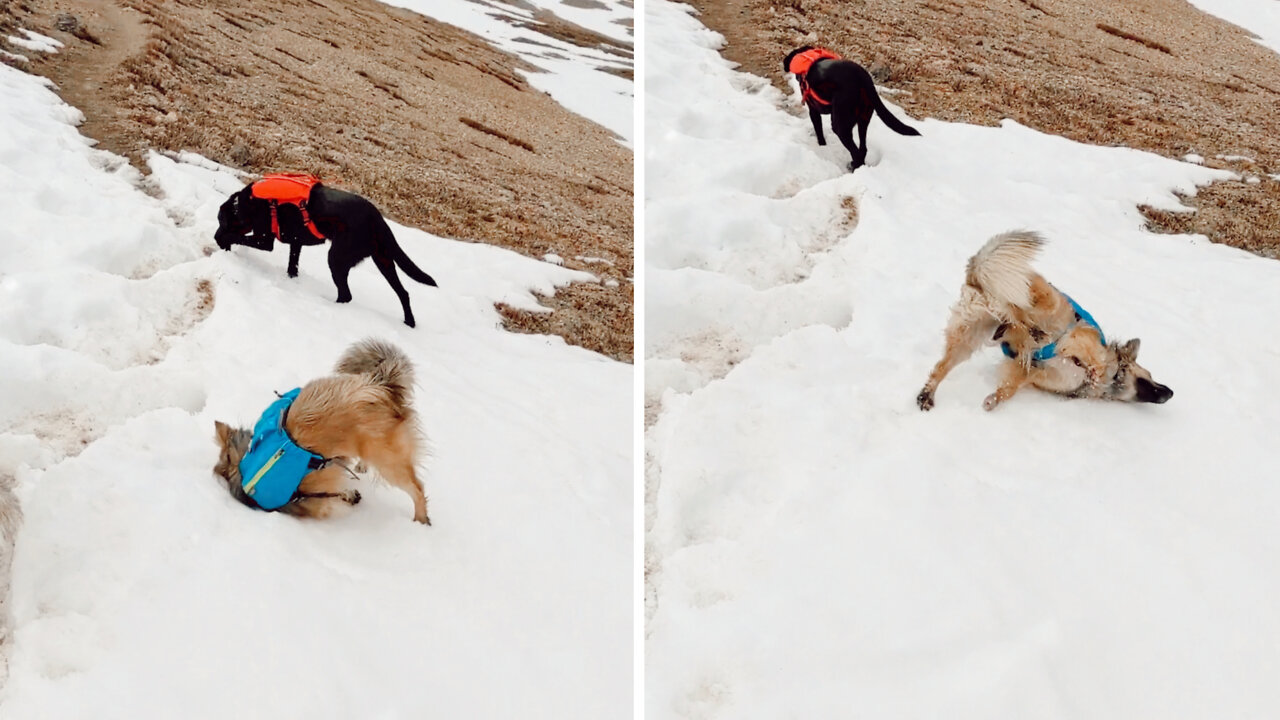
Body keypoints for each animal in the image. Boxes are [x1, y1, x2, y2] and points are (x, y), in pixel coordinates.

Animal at [211, 335, 430, 520]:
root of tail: (379, 384)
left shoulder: (312, 496)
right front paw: (349, 494)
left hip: (388, 461)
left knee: (417, 489)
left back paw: (421, 520)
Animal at [217, 175, 437, 326]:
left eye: (221, 222)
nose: (215, 235)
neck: (246, 202)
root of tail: (378, 219)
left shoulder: (264, 240)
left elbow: (238, 237)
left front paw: (224, 239)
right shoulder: (295, 242)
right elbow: (292, 265)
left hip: (337, 258)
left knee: (346, 295)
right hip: (383, 259)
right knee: (403, 292)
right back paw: (409, 322)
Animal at [778, 46, 921, 172]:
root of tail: (862, 77)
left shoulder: (814, 110)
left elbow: (819, 132)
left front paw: (822, 146)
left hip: (840, 125)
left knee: (856, 152)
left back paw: (853, 167)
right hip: (863, 119)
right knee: (863, 149)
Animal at [916, 229, 1172, 409]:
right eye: (1149, 377)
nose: (1170, 392)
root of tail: (978, 277)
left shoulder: (1031, 372)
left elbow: (1010, 387)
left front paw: (995, 399)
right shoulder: (1082, 343)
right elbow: (1091, 359)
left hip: (969, 336)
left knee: (941, 367)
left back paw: (927, 393)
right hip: (1043, 300)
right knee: (1022, 311)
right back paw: (1026, 328)